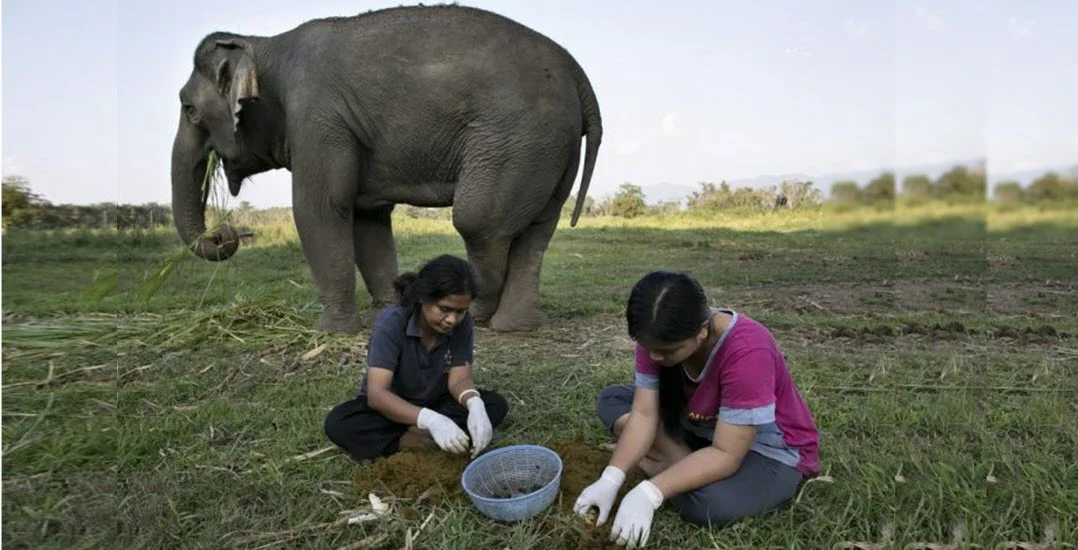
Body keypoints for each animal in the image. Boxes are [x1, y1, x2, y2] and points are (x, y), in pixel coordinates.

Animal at [170, 4, 601, 333]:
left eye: (189, 109)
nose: (225, 232)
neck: (266, 43)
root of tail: (577, 74)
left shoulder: (316, 119)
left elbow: (320, 210)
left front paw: (330, 331)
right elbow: (367, 218)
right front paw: (385, 313)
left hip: (517, 140)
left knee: (478, 221)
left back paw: (477, 316)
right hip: (551, 148)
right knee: (537, 231)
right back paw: (513, 327)